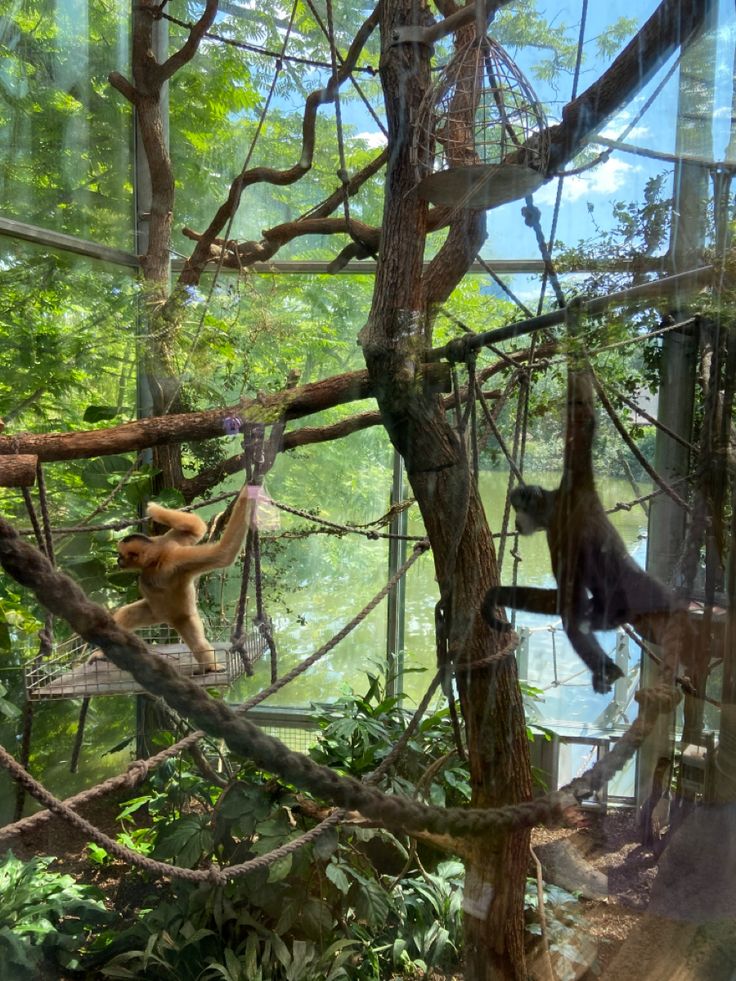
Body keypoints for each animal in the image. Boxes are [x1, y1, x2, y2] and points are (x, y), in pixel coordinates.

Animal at [484, 364, 688, 692]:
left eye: (518, 509)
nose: (515, 522)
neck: (558, 504)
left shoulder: (562, 521)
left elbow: (571, 602)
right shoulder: (577, 484)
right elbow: (585, 415)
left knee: (575, 613)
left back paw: (606, 668)